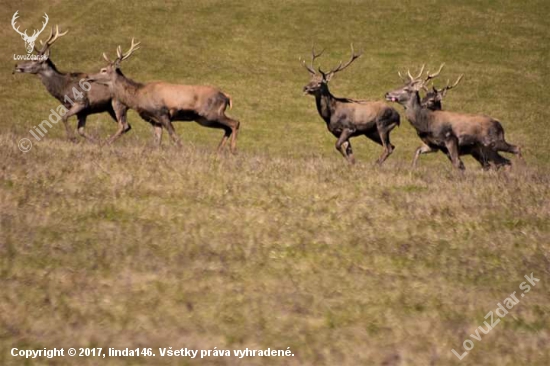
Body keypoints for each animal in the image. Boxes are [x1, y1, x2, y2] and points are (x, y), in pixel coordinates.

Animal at [87, 39, 240, 153]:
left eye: (103, 70)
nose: (88, 77)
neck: (139, 96)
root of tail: (227, 97)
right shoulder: (154, 120)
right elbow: (157, 142)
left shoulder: (162, 113)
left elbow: (175, 137)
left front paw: (182, 151)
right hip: (204, 119)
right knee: (227, 127)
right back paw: (219, 150)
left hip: (210, 113)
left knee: (235, 123)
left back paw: (232, 150)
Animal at [386, 64, 524, 170]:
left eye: (406, 89)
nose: (387, 93)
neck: (427, 122)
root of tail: (500, 125)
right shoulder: (435, 145)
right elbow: (418, 150)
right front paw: (412, 169)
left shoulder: (450, 138)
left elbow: (458, 163)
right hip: (485, 149)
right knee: (502, 162)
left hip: (493, 142)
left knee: (515, 150)